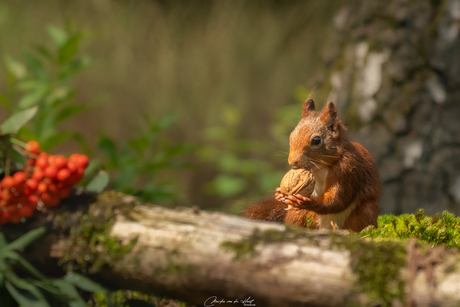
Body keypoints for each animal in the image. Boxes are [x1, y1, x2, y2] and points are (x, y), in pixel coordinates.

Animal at [244, 100, 380, 232]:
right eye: (291, 136)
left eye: (316, 140)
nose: (293, 162)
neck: (321, 168)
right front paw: (279, 193)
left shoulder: (348, 169)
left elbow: (337, 199)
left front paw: (307, 202)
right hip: (300, 215)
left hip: (364, 213)